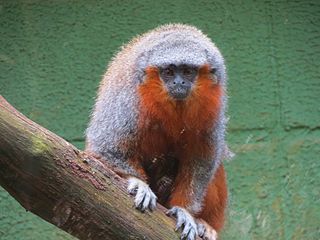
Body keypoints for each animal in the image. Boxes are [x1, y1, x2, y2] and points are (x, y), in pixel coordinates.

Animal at [85, 23, 231, 240]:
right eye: (169, 72)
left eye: (187, 72)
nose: (178, 83)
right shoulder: (129, 98)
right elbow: (105, 147)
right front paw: (138, 182)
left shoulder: (213, 106)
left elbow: (203, 159)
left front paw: (185, 211)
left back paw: (205, 223)